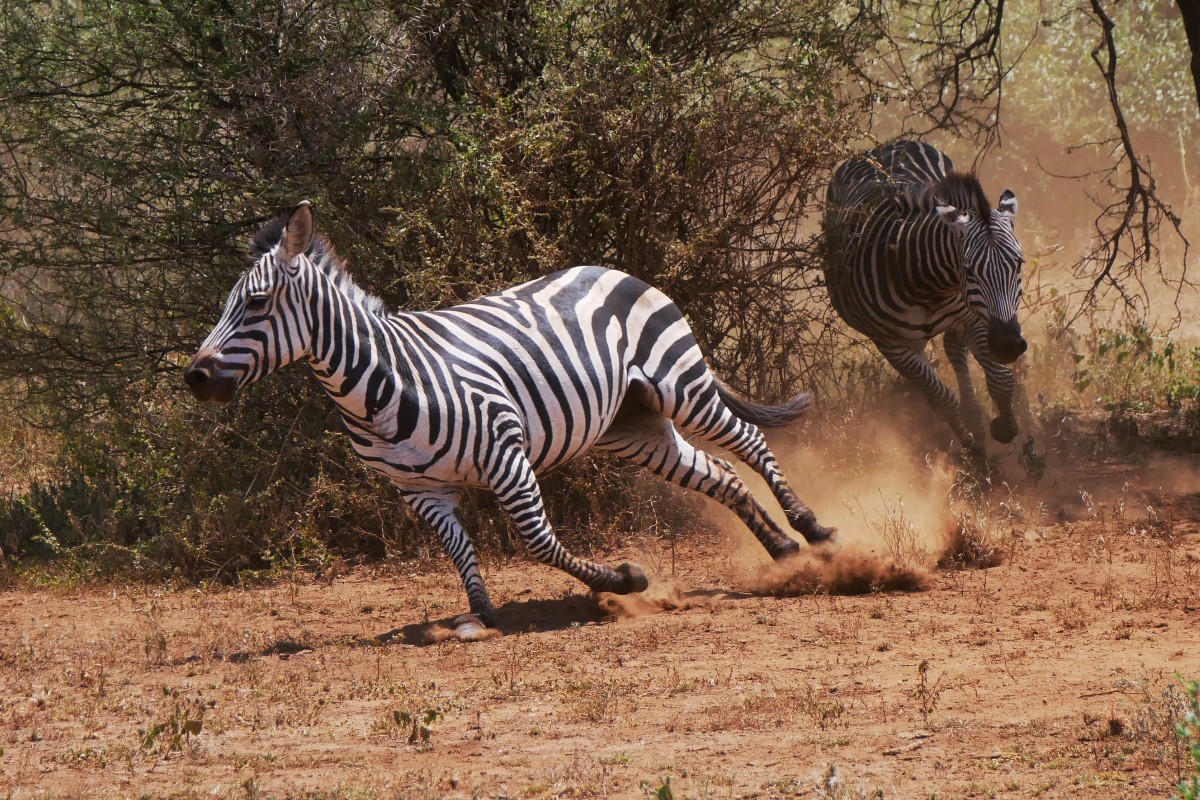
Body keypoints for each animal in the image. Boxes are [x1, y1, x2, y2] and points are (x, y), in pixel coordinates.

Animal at [184, 203, 835, 642]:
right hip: (632, 426)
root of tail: (613, 269)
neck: (382, 383)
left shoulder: (506, 454)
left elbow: (537, 541)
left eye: (257, 304)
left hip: (681, 382)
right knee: (719, 472)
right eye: (228, 304)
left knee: (748, 442)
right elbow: (460, 553)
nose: (194, 376)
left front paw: (624, 579)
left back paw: (811, 528)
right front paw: (482, 614)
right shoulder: (418, 490)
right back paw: (781, 549)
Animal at [825, 140, 1032, 460]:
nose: (1008, 345)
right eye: (968, 269)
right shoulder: (893, 345)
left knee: (954, 348)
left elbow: (1002, 379)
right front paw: (974, 453)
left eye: (1019, 264)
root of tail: (885, 146)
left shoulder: (976, 318)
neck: (932, 285)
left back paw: (975, 413)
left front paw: (1003, 426)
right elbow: (940, 398)